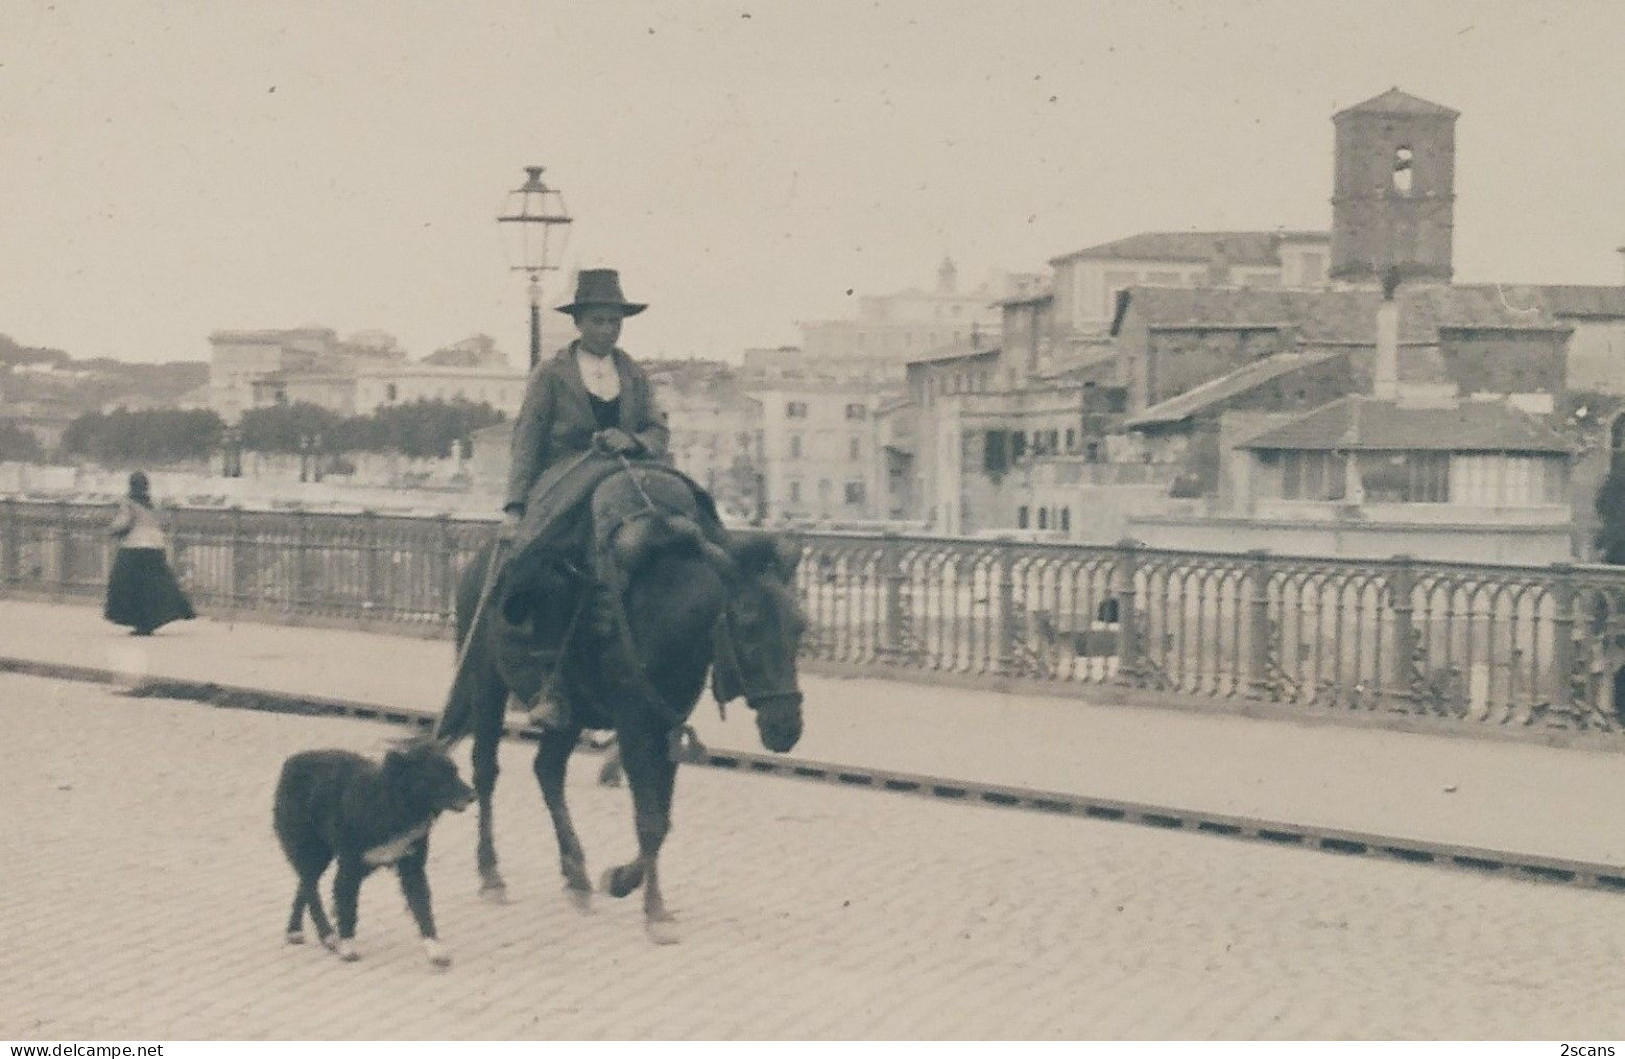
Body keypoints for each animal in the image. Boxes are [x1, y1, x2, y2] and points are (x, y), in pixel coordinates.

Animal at [273, 740, 474, 961]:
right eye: (441, 776)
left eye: (455, 772)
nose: (473, 795)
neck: (395, 806)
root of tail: (292, 761)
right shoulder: (350, 867)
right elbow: (348, 906)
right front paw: (347, 945)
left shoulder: (412, 867)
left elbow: (422, 906)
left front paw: (435, 948)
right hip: (310, 849)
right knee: (310, 888)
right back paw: (326, 934)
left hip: (323, 854)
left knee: (304, 884)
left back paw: (295, 929)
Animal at [435, 464, 809, 942]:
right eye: (747, 624)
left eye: (799, 625)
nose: (786, 725)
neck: (664, 609)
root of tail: (480, 564)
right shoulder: (634, 725)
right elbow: (648, 818)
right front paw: (654, 911)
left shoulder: (667, 726)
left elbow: (661, 819)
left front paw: (621, 880)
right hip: (487, 686)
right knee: (485, 770)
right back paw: (491, 874)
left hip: (570, 713)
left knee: (548, 770)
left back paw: (576, 874)